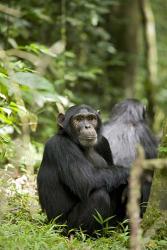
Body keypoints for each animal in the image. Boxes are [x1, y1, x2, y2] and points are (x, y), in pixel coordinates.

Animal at [37, 104, 130, 233]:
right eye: (79, 119)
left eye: (91, 118)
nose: (87, 126)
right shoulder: (61, 145)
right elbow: (85, 180)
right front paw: (133, 172)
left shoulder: (104, 143)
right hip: (64, 228)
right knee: (99, 195)